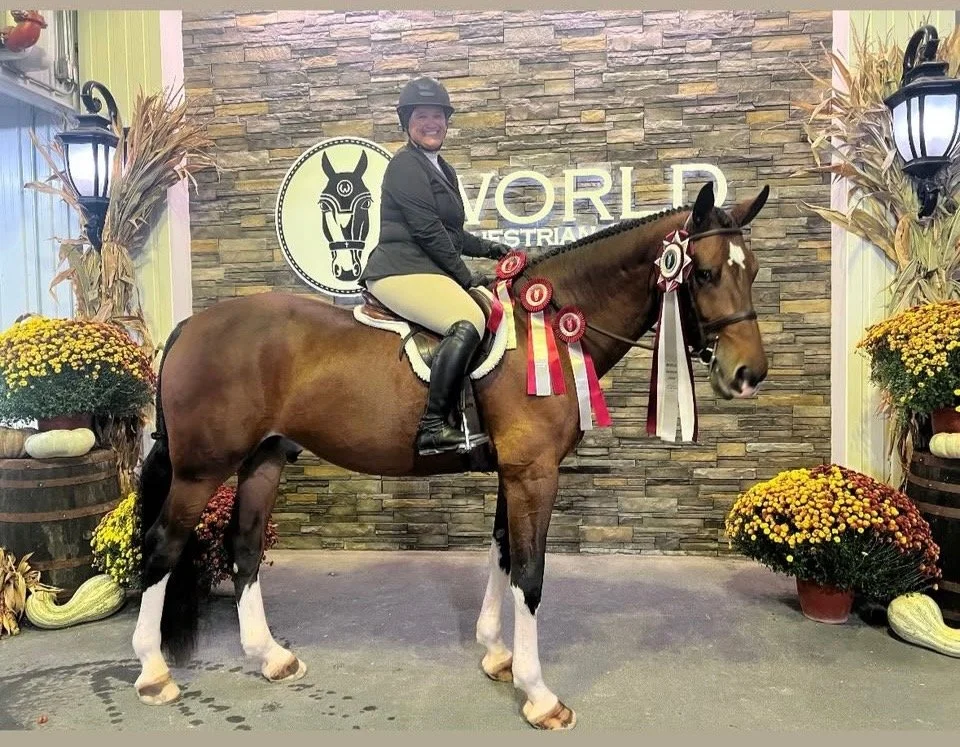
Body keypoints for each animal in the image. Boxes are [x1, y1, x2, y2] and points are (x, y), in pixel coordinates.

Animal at [131, 181, 769, 730]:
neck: (550, 328)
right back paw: (154, 672)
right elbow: (531, 576)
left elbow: (503, 555)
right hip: (200, 470)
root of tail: (191, 325)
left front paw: (496, 654)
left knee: (243, 545)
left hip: (262, 460)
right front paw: (540, 695)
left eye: (755, 271)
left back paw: (270, 657)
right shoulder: (534, 474)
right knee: (163, 545)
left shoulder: (513, 473)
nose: (748, 374)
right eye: (705, 272)